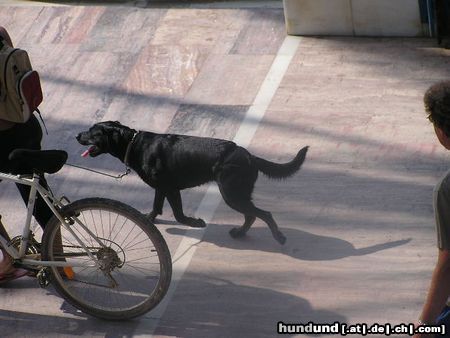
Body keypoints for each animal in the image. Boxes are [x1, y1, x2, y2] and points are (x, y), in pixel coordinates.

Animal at [77, 121, 310, 243]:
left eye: (93, 132)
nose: (78, 135)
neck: (134, 144)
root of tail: (250, 156)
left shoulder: (171, 189)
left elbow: (179, 215)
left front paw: (195, 223)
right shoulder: (163, 188)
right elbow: (156, 206)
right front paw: (149, 219)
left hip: (231, 193)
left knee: (263, 214)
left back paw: (278, 237)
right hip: (237, 193)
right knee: (252, 214)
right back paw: (240, 233)